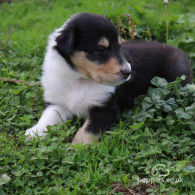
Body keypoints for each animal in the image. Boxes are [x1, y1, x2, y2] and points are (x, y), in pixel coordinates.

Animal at [25, 11, 193, 143]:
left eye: (119, 47)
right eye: (101, 49)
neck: (79, 80)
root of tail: (176, 49)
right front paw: (32, 134)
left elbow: (85, 132)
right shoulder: (56, 102)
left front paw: (74, 149)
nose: (128, 72)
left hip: (176, 76)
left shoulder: (104, 108)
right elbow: (47, 118)